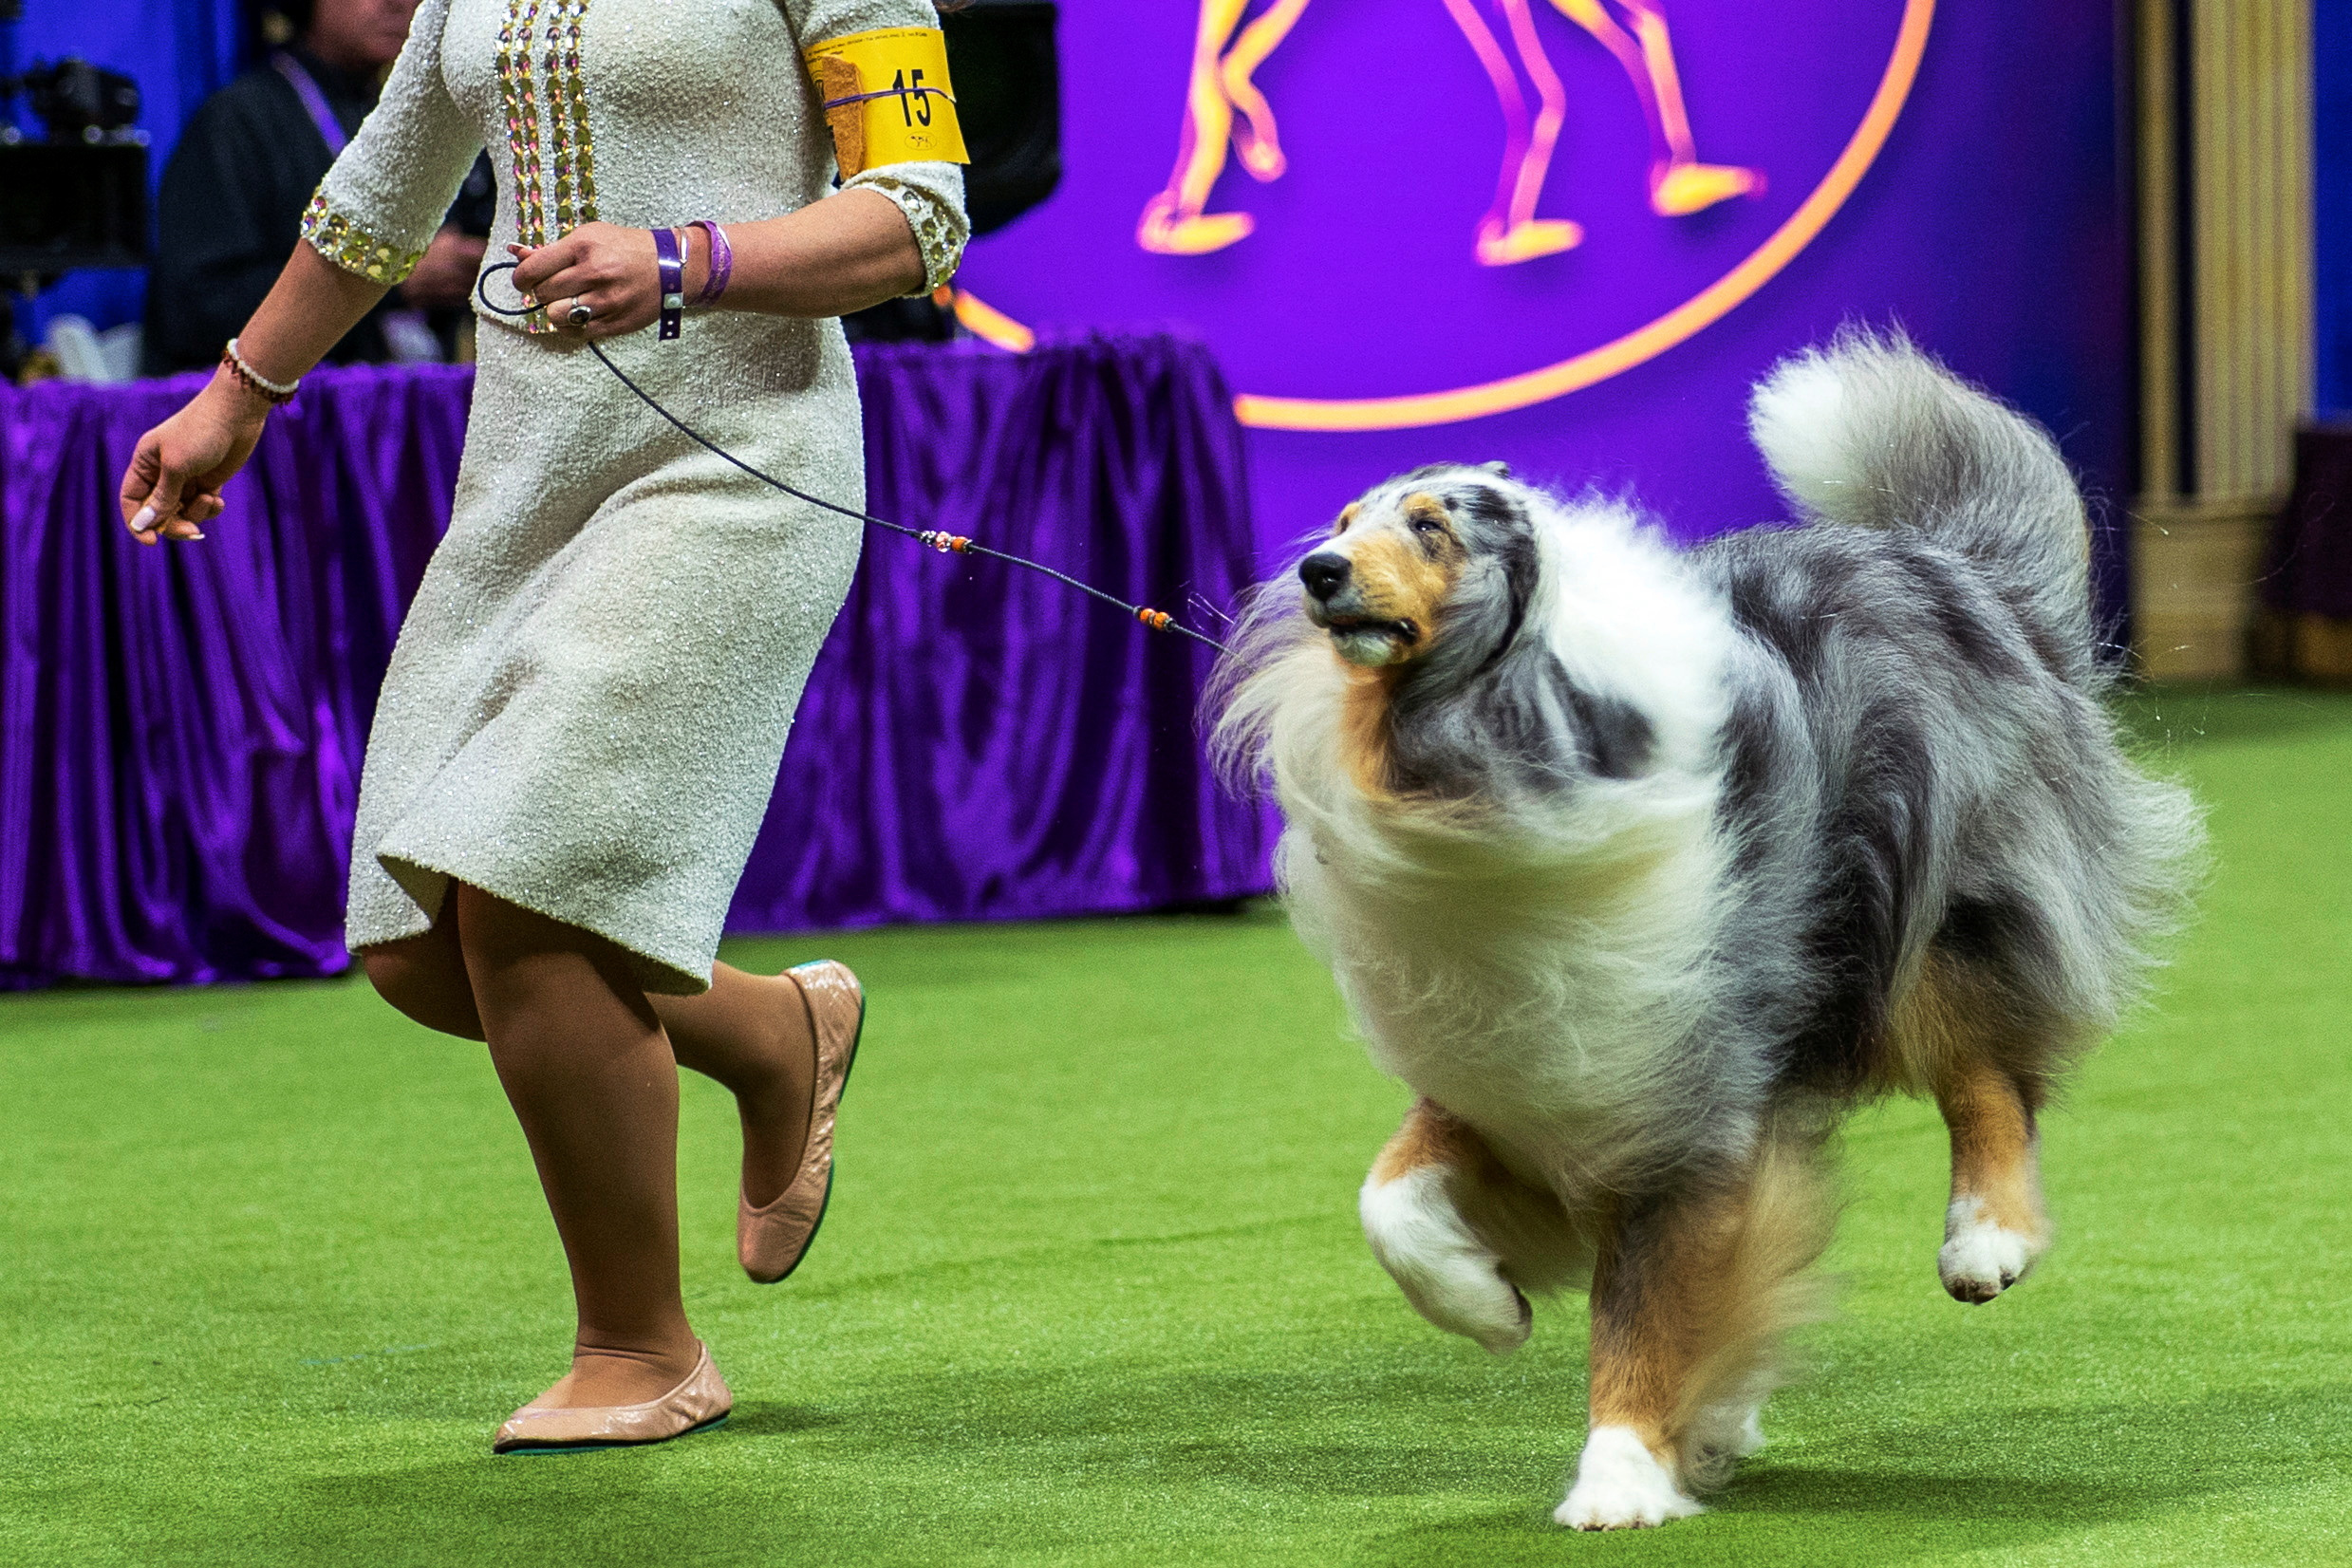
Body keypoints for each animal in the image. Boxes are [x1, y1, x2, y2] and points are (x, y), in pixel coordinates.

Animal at [1213, 333, 2201, 1532]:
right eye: (1347, 516)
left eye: (1432, 526)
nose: (1317, 568)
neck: (1489, 740)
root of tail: (1951, 563)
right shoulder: (1518, 1055)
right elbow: (1387, 1197)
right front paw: (1489, 1303)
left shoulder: (1678, 1085)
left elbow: (1642, 1308)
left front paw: (1619, 1474)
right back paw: (1726, 1409)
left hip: (1938, 911)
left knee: (1988, 1080)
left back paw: (1985, 1239)